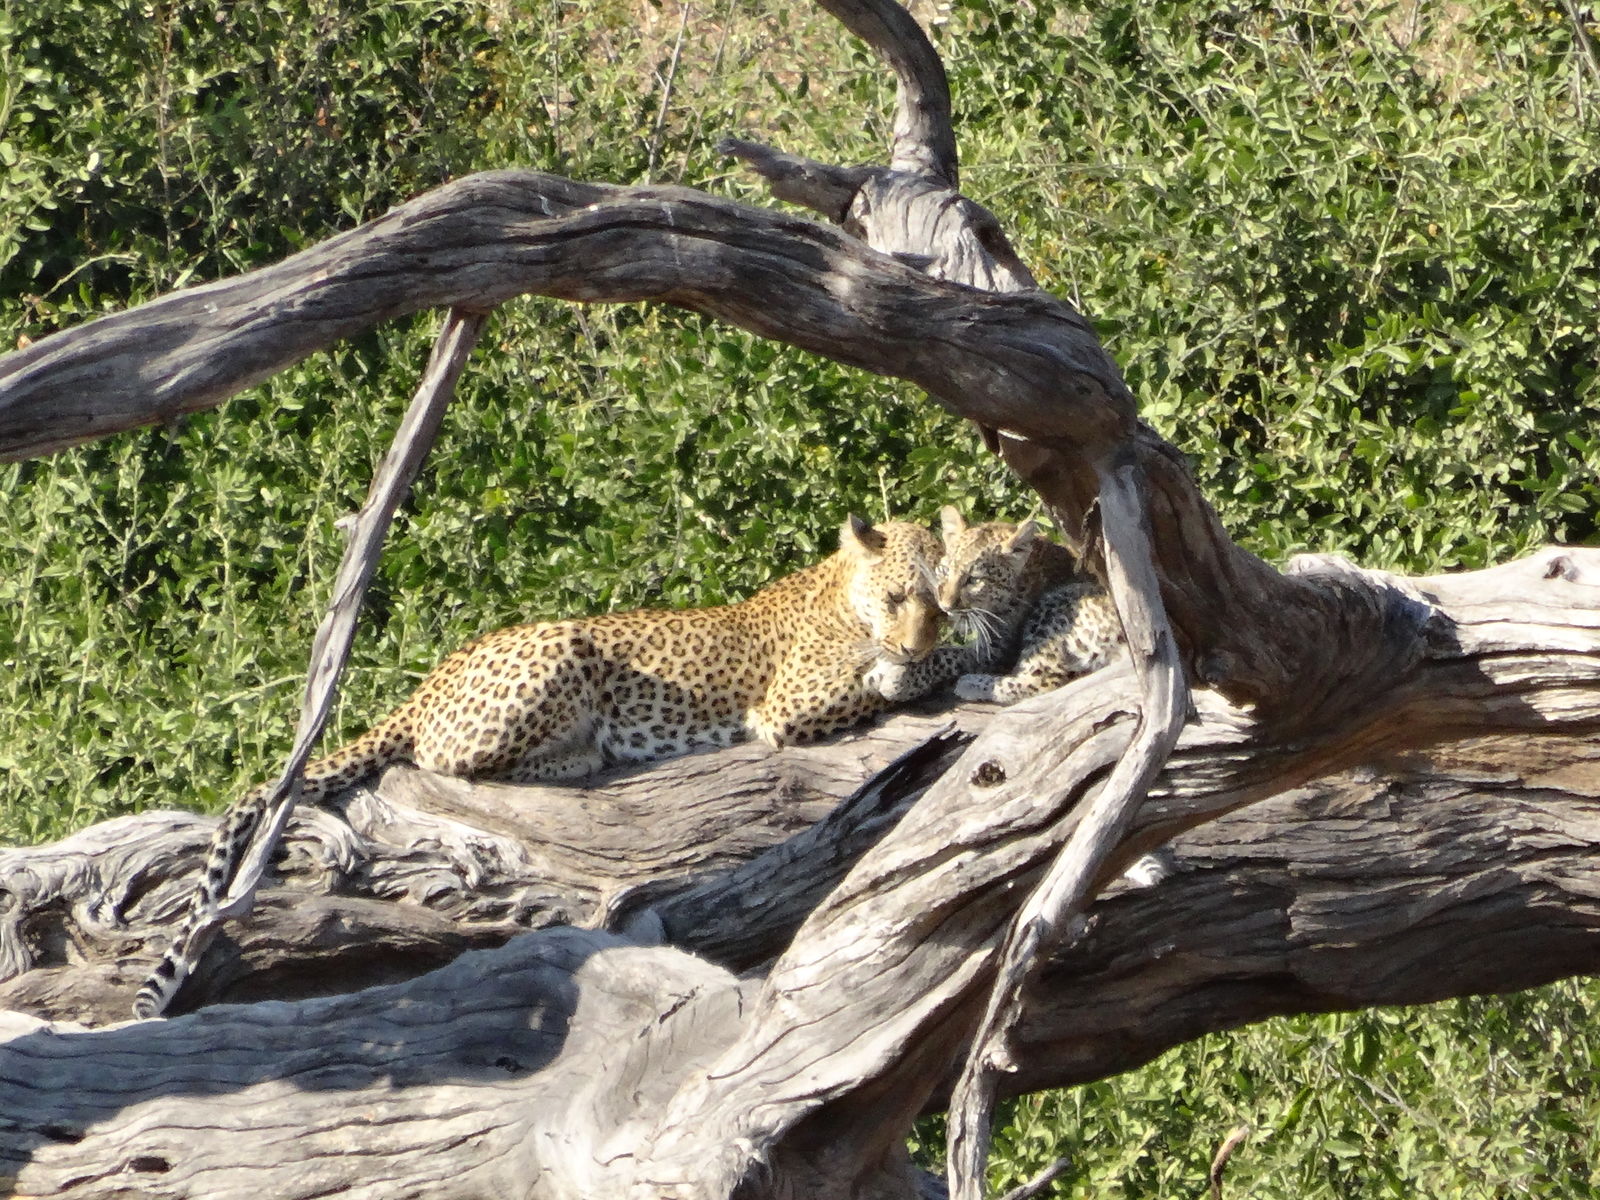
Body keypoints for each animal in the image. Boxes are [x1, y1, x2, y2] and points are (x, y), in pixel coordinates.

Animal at [137, 512, 940, 1017]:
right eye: (901, 596)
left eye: (940, 599)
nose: (919, 638)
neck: (843, 589)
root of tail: (428, 679)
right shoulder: (789, 704)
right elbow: (884, 677)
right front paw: (925, 667)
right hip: (560, 647)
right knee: (446, 757)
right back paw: (583, 752)